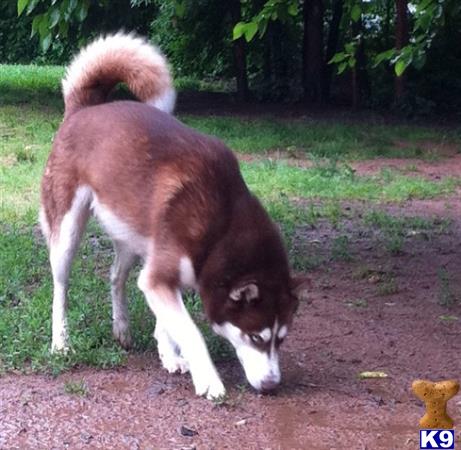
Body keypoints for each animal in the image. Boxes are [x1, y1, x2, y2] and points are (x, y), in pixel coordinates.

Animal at [39, 33, 306, 400]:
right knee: (61, 288)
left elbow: (168, 322)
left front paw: (170, 354)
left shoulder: (160, 275)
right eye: (256, 337)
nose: (271, 385)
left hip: (132, 234)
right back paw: (61, 342)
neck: (222, 225)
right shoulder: (159, 276)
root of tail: (84, 108)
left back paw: (122, 328)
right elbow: (191, 331)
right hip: (67, 232)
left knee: (116, 276)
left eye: (281, 339)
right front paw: (208, 380)